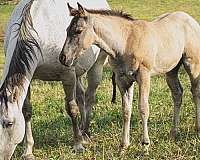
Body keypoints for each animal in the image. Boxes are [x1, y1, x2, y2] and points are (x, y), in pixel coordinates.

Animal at [0, 0, 109, 159]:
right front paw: (28, 150)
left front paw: (77, 144)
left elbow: (72, 109)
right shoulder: (29, 78)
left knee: (89, 98)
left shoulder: (67, 75)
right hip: (78, 73)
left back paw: (85, 134)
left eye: (9, 124)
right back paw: (82, 131)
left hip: (96, 66)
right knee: (81, 96)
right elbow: (26, 111)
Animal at [59, 3, 200, 154]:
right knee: (177, 94)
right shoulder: (123, 80)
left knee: (195, 91)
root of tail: (191, 20)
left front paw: (145, 145)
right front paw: (124, 145)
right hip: (171, 70)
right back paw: (174, 133)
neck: (126, 42)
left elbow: (143, 108)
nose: (63, 58)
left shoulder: (144, 76)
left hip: (192, 64)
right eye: (67, 30)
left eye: (78, 31)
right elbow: (126, 111)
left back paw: (197, 128)